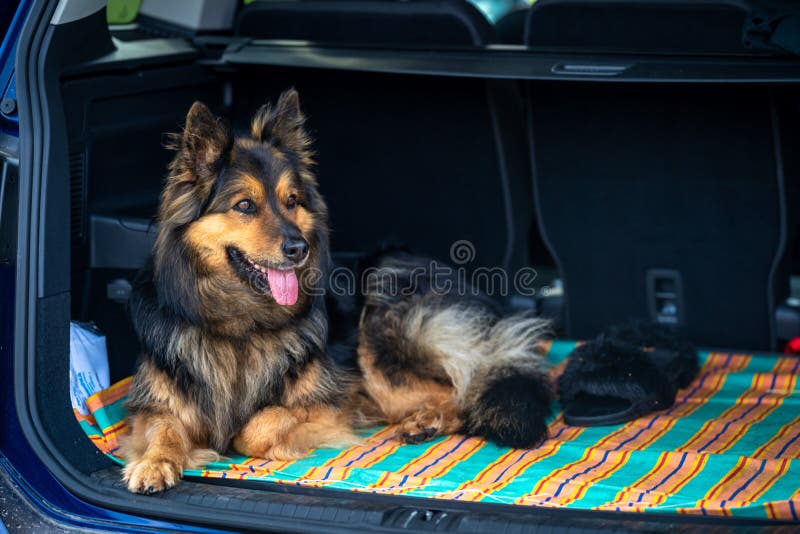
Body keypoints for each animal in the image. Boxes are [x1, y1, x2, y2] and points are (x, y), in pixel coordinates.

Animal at [122, 90, 552, 496]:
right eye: (244, 205)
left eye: (291, 201)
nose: (299, 248)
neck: (239, 322)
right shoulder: (155, 404)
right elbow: (163, 430)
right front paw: (154, 463)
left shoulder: (331, 403)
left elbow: (256, 427)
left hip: (380, 326)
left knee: (463, 392)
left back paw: (424, 421)